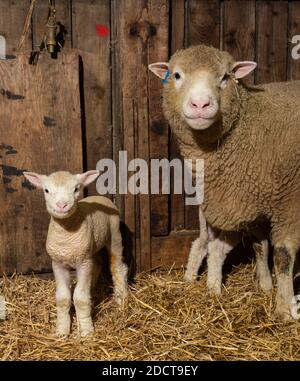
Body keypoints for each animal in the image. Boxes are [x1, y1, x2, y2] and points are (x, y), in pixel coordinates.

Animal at [23, 171, 126, 336]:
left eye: (76, 189)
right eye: (46, 190)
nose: (62, 205)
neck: (66, 237)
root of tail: (101, 198)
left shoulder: (83, 263)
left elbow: (80, 298)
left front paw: (86, 330)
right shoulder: (58, 263)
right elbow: (63, 298)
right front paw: (62, 330)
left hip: (114, 235)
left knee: (117, 267)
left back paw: (121, 300)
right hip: (91, 248)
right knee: (97, 264)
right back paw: (92, 289)